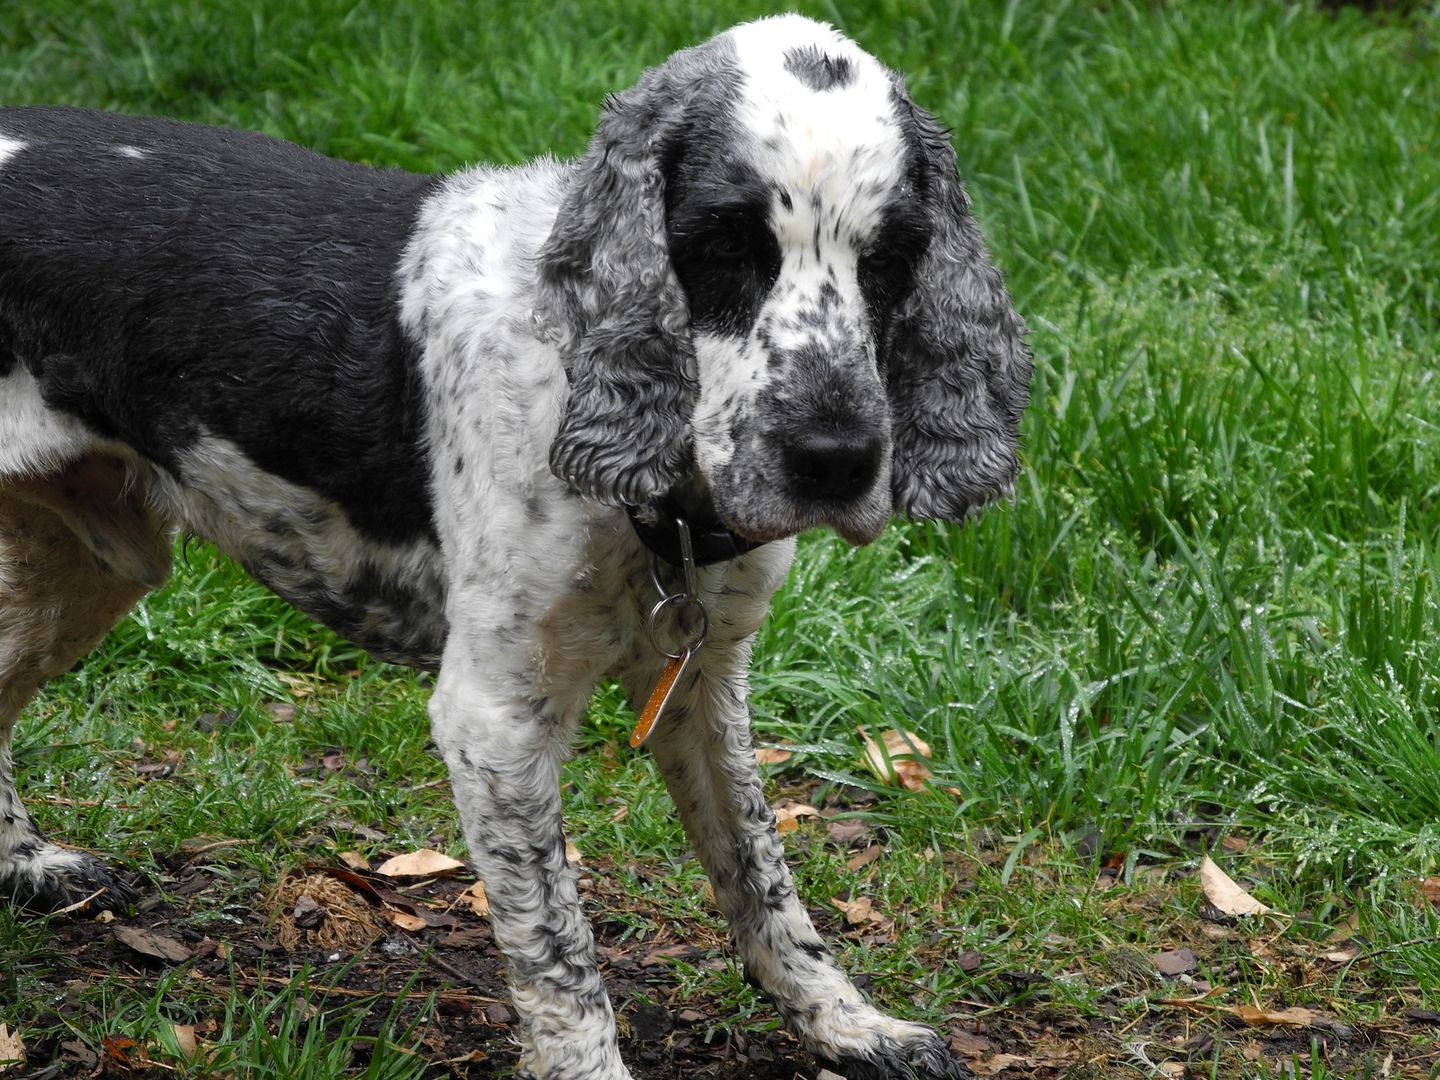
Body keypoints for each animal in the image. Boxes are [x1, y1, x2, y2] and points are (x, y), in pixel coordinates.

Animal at [2, 16, 1036, 1080]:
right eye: (722, 243)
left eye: (893, 257)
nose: (837, 460)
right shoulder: (495, 716)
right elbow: (558, 946)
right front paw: (589, 1061)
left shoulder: (704, 684)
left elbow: (761, 874)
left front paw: (848, 1023)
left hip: (91, 562)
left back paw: (29, 866)